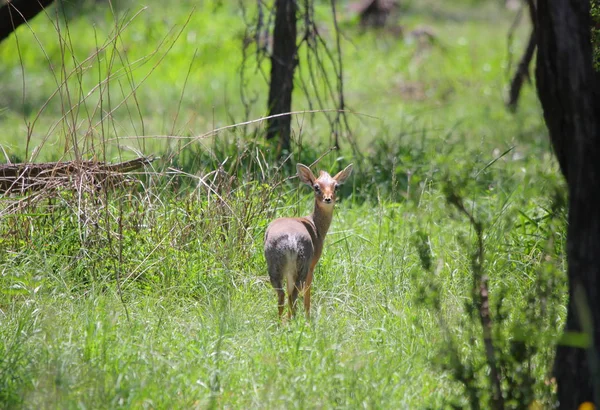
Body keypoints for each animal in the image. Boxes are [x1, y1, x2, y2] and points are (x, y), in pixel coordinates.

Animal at [262, 162, 352, 318]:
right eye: (316, 187)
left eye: (336, 186)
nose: (328, 198)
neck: (316, 226)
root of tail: (290, 240)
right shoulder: (313, 264)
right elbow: (308, 291)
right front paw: (308, 317)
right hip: (303, 264)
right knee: (294, 293)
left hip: (275, 265)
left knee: (283, 294)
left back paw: (281, 321)